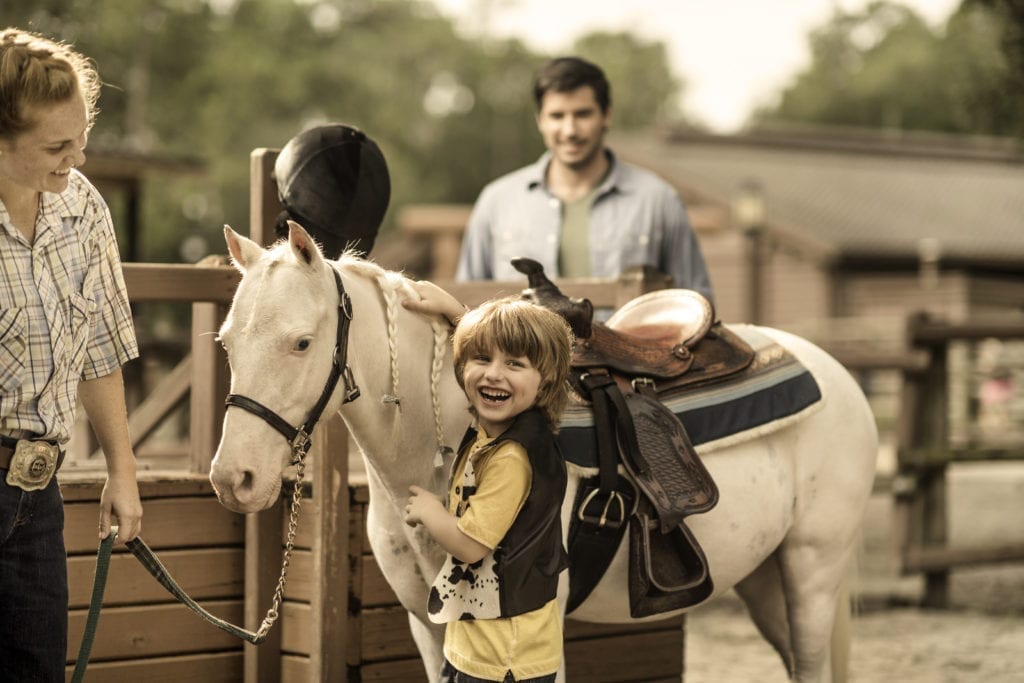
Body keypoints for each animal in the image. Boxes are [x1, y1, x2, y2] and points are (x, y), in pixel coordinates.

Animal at [209, 222, 880, 679]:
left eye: (301, 342)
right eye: (225, 342)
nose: (233, 478)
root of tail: (839, 377)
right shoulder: (429, 626)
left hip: (812, 571)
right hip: (766, 578)